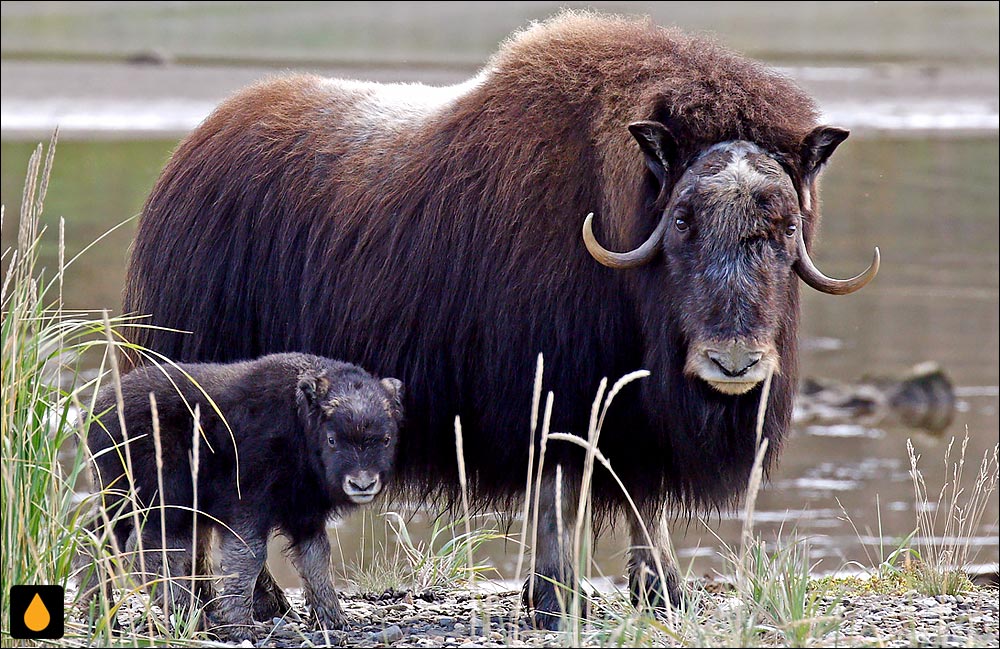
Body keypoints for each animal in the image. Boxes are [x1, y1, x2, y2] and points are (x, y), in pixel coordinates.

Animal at [86, 352, 404, 636]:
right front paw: (240, 626)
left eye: (386, 439)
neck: (298, 424)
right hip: (163, 501)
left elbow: (316, 558)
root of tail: (95, 413)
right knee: (149, 553)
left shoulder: (305, 515)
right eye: (332, 439)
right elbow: (249, 557)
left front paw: (334, 620)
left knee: (99, 541)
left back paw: (103, 616)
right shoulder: (249, 506)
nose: (362, 484)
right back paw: (190, 618)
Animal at [121, 11, 880, 628]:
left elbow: (646, 499)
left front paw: (664, 591)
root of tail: (189, 156)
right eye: (685, 221)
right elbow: (553, 491)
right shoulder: (545, 387)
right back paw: (231, 602)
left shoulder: (633, 409)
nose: (733, 362)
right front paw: (554, 599)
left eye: (785, 227)